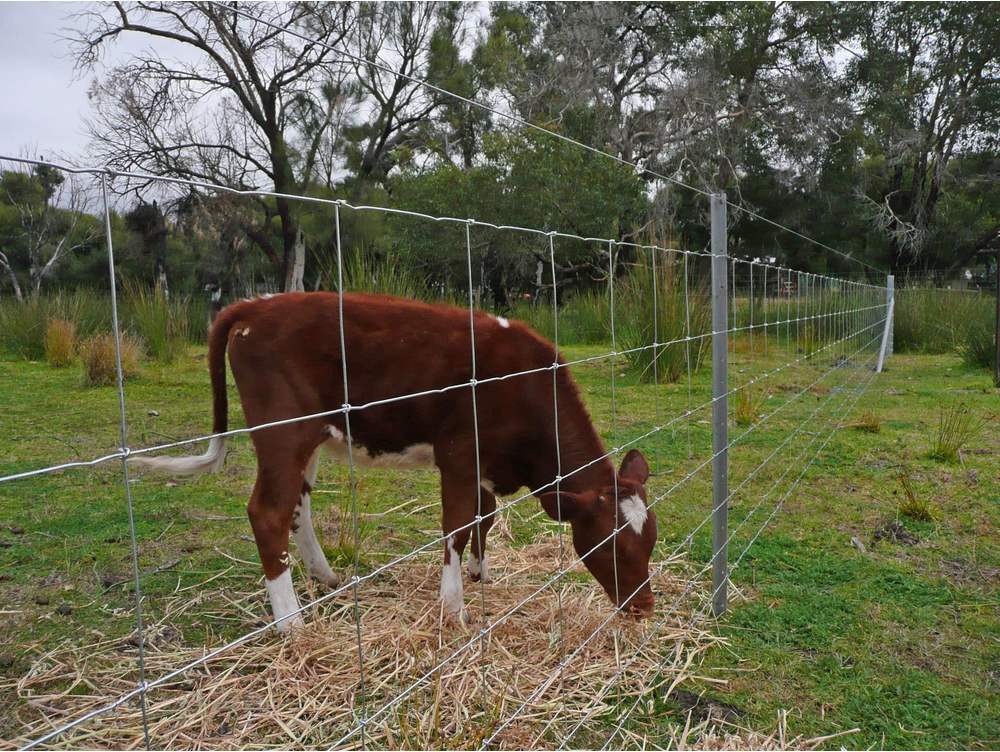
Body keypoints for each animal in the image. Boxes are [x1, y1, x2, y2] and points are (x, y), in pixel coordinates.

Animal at [133, 292, 660, 628]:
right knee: (269, 512)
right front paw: (454, 608)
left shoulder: (485, 464)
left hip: (311, 438)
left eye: (650, 543)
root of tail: (255, 305)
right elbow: (458, 526)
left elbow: (485, 518)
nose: (644, 608)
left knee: (298, 506)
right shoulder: (459, 455)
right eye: (611, 548)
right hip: (282, 432)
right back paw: (291, 624)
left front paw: (480, 574)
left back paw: (326, 578)